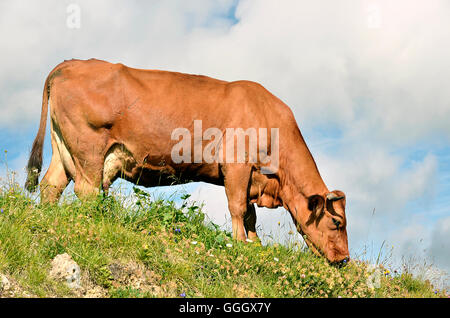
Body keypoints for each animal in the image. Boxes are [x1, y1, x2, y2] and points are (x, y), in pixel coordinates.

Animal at [24, 59, 350, 264]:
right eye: (337, 222)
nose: (345, 259)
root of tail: (71, 63)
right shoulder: (237, 165)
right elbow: (238, 208)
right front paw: (240, 244)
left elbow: (250, 215)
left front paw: (256, 245)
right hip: (88, 147)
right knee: (87, 191)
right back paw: (97, 222)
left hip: (64, 146)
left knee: (52, 184)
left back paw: (49, 218)